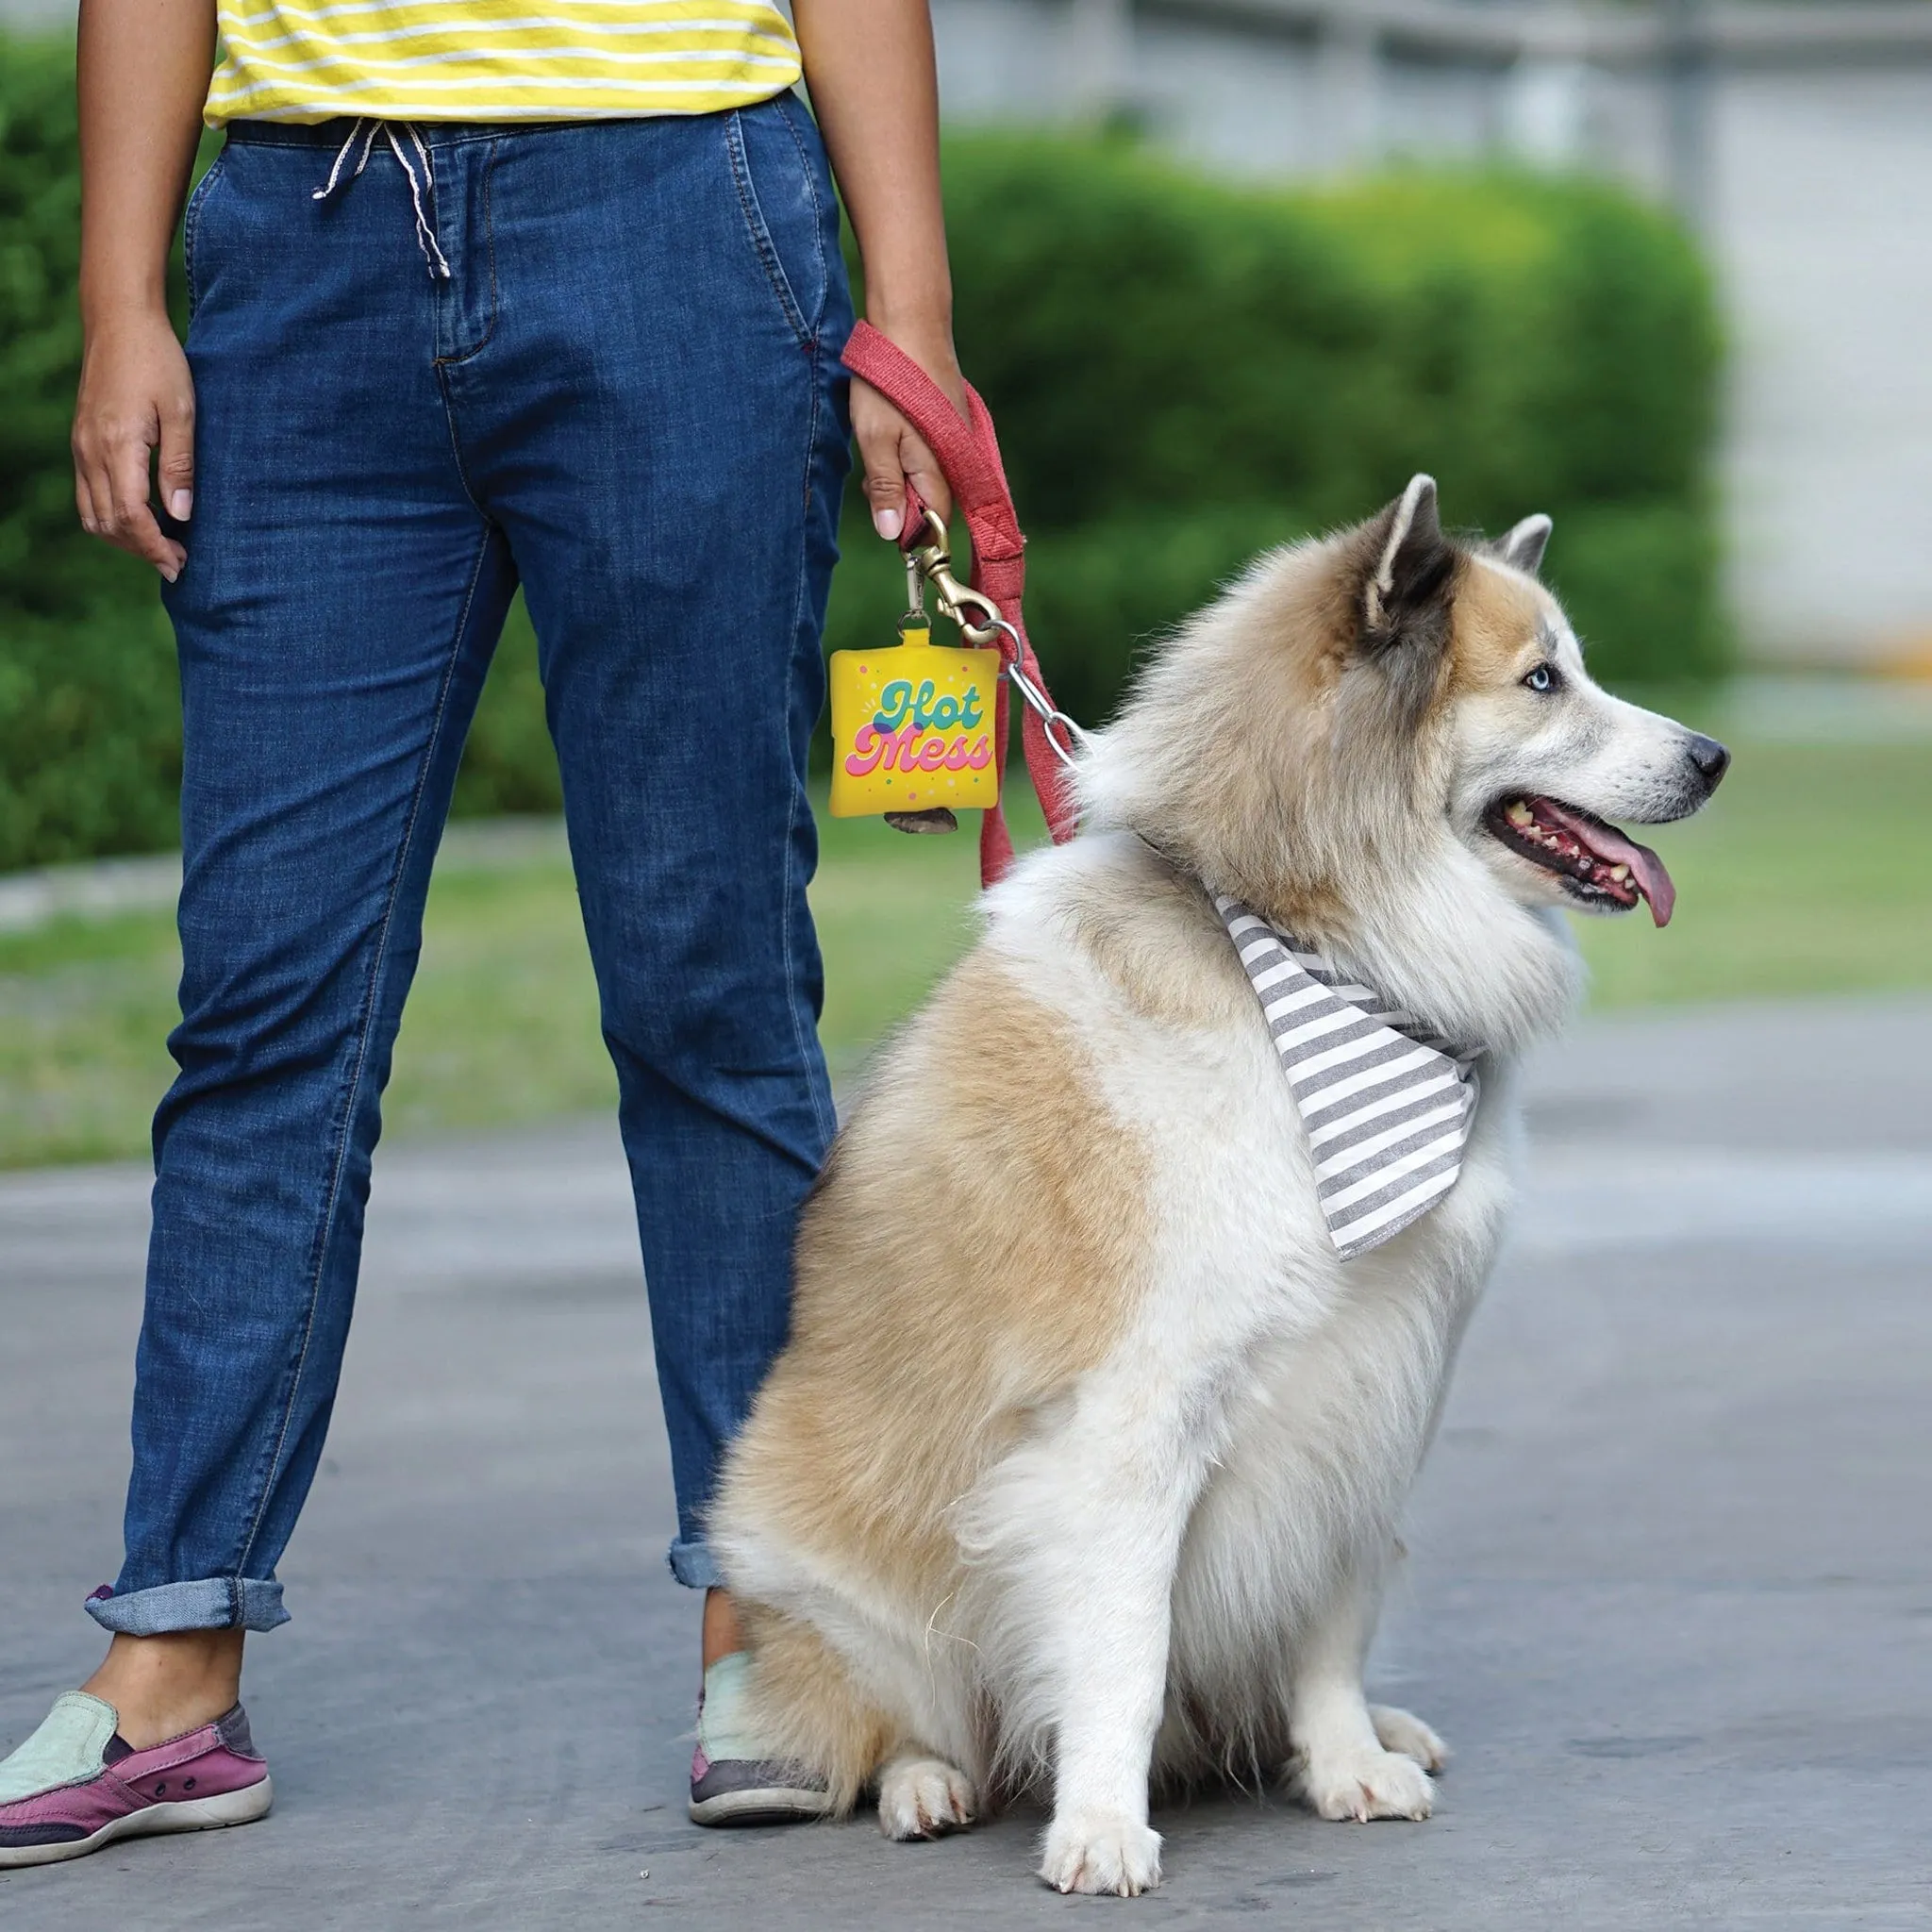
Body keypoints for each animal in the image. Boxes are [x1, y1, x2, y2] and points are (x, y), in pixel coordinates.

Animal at [714, 475, 1739, 1893]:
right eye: (1542, 681)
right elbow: (1122, 1645)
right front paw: (1100, 1823)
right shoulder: (1134, 1421)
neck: (1315, 955)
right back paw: (930, 1782)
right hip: (830, 1559)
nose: (1713, 757)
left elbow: (1327, 1617)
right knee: (883, 1714)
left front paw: (1346, 1759)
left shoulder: (1378, 1386)